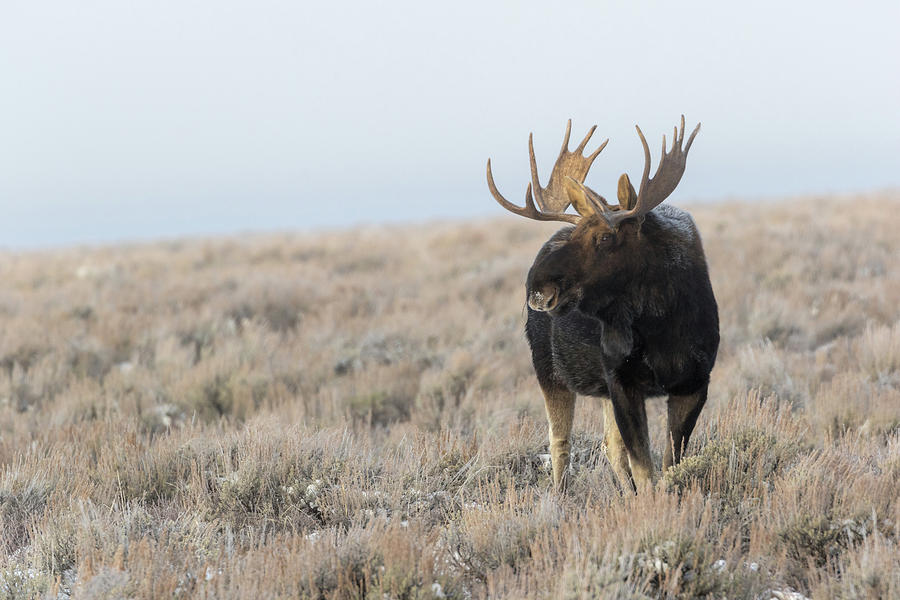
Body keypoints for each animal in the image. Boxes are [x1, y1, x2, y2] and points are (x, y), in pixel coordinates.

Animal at [482, 116, 720, 492]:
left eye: (605, 237)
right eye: (574, 235)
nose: (538, 287)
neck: (661, 324)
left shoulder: (694, 383)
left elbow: (669, 465)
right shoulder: (621, 380)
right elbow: (644, 468)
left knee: (609, 445)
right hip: (550, 370)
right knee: (560, 442)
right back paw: (560, 496)